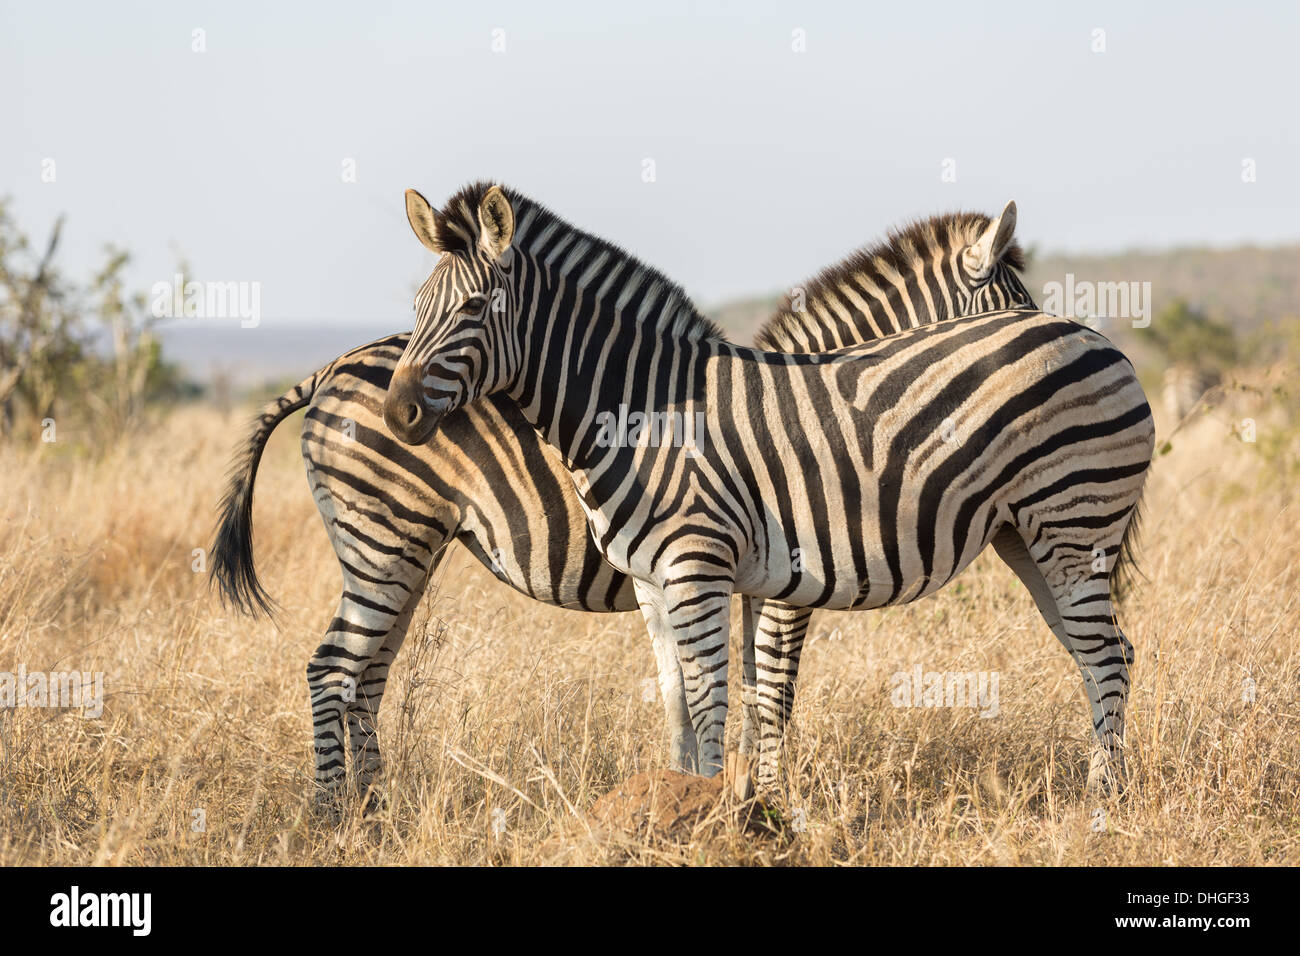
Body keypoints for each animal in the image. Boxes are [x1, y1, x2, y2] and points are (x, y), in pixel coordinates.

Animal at [205, 197, 1034, 806]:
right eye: (1021, 306)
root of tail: (330, 371)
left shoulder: (741, 576)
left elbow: (740, 691)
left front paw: (736, 798)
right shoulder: (783, 581)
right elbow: (771, 694)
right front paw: (764, 801)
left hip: (403, 549)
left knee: (365, 676)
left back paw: (376, 809)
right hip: (385, 540)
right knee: (332, 670)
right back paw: (332, 815)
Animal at [379, 184, 1154, 790]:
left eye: (474, 309)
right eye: (417, 308)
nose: (398, 414)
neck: (642, 408)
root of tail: (1097, 340)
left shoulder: (711, 570)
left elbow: (733, 700)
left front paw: (731, 810)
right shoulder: (660, 583)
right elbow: (685, 705)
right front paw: (701, 804)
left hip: (1071, 524)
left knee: (1106, 655)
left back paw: (1102, 807)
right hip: (1031, 537)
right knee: (1102, 654)